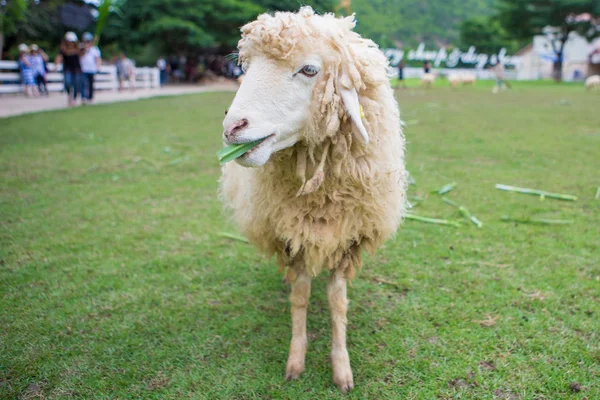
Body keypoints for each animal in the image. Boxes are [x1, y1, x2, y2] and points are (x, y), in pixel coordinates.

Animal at [220, 7, 408, 394]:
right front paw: (296, 359)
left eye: (309, 70)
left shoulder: (349, 237)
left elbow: (337, 301)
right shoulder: (290, 236)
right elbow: (301, 295)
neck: (319, 192)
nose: (232, 128)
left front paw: (341, 368)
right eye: (247, 66)